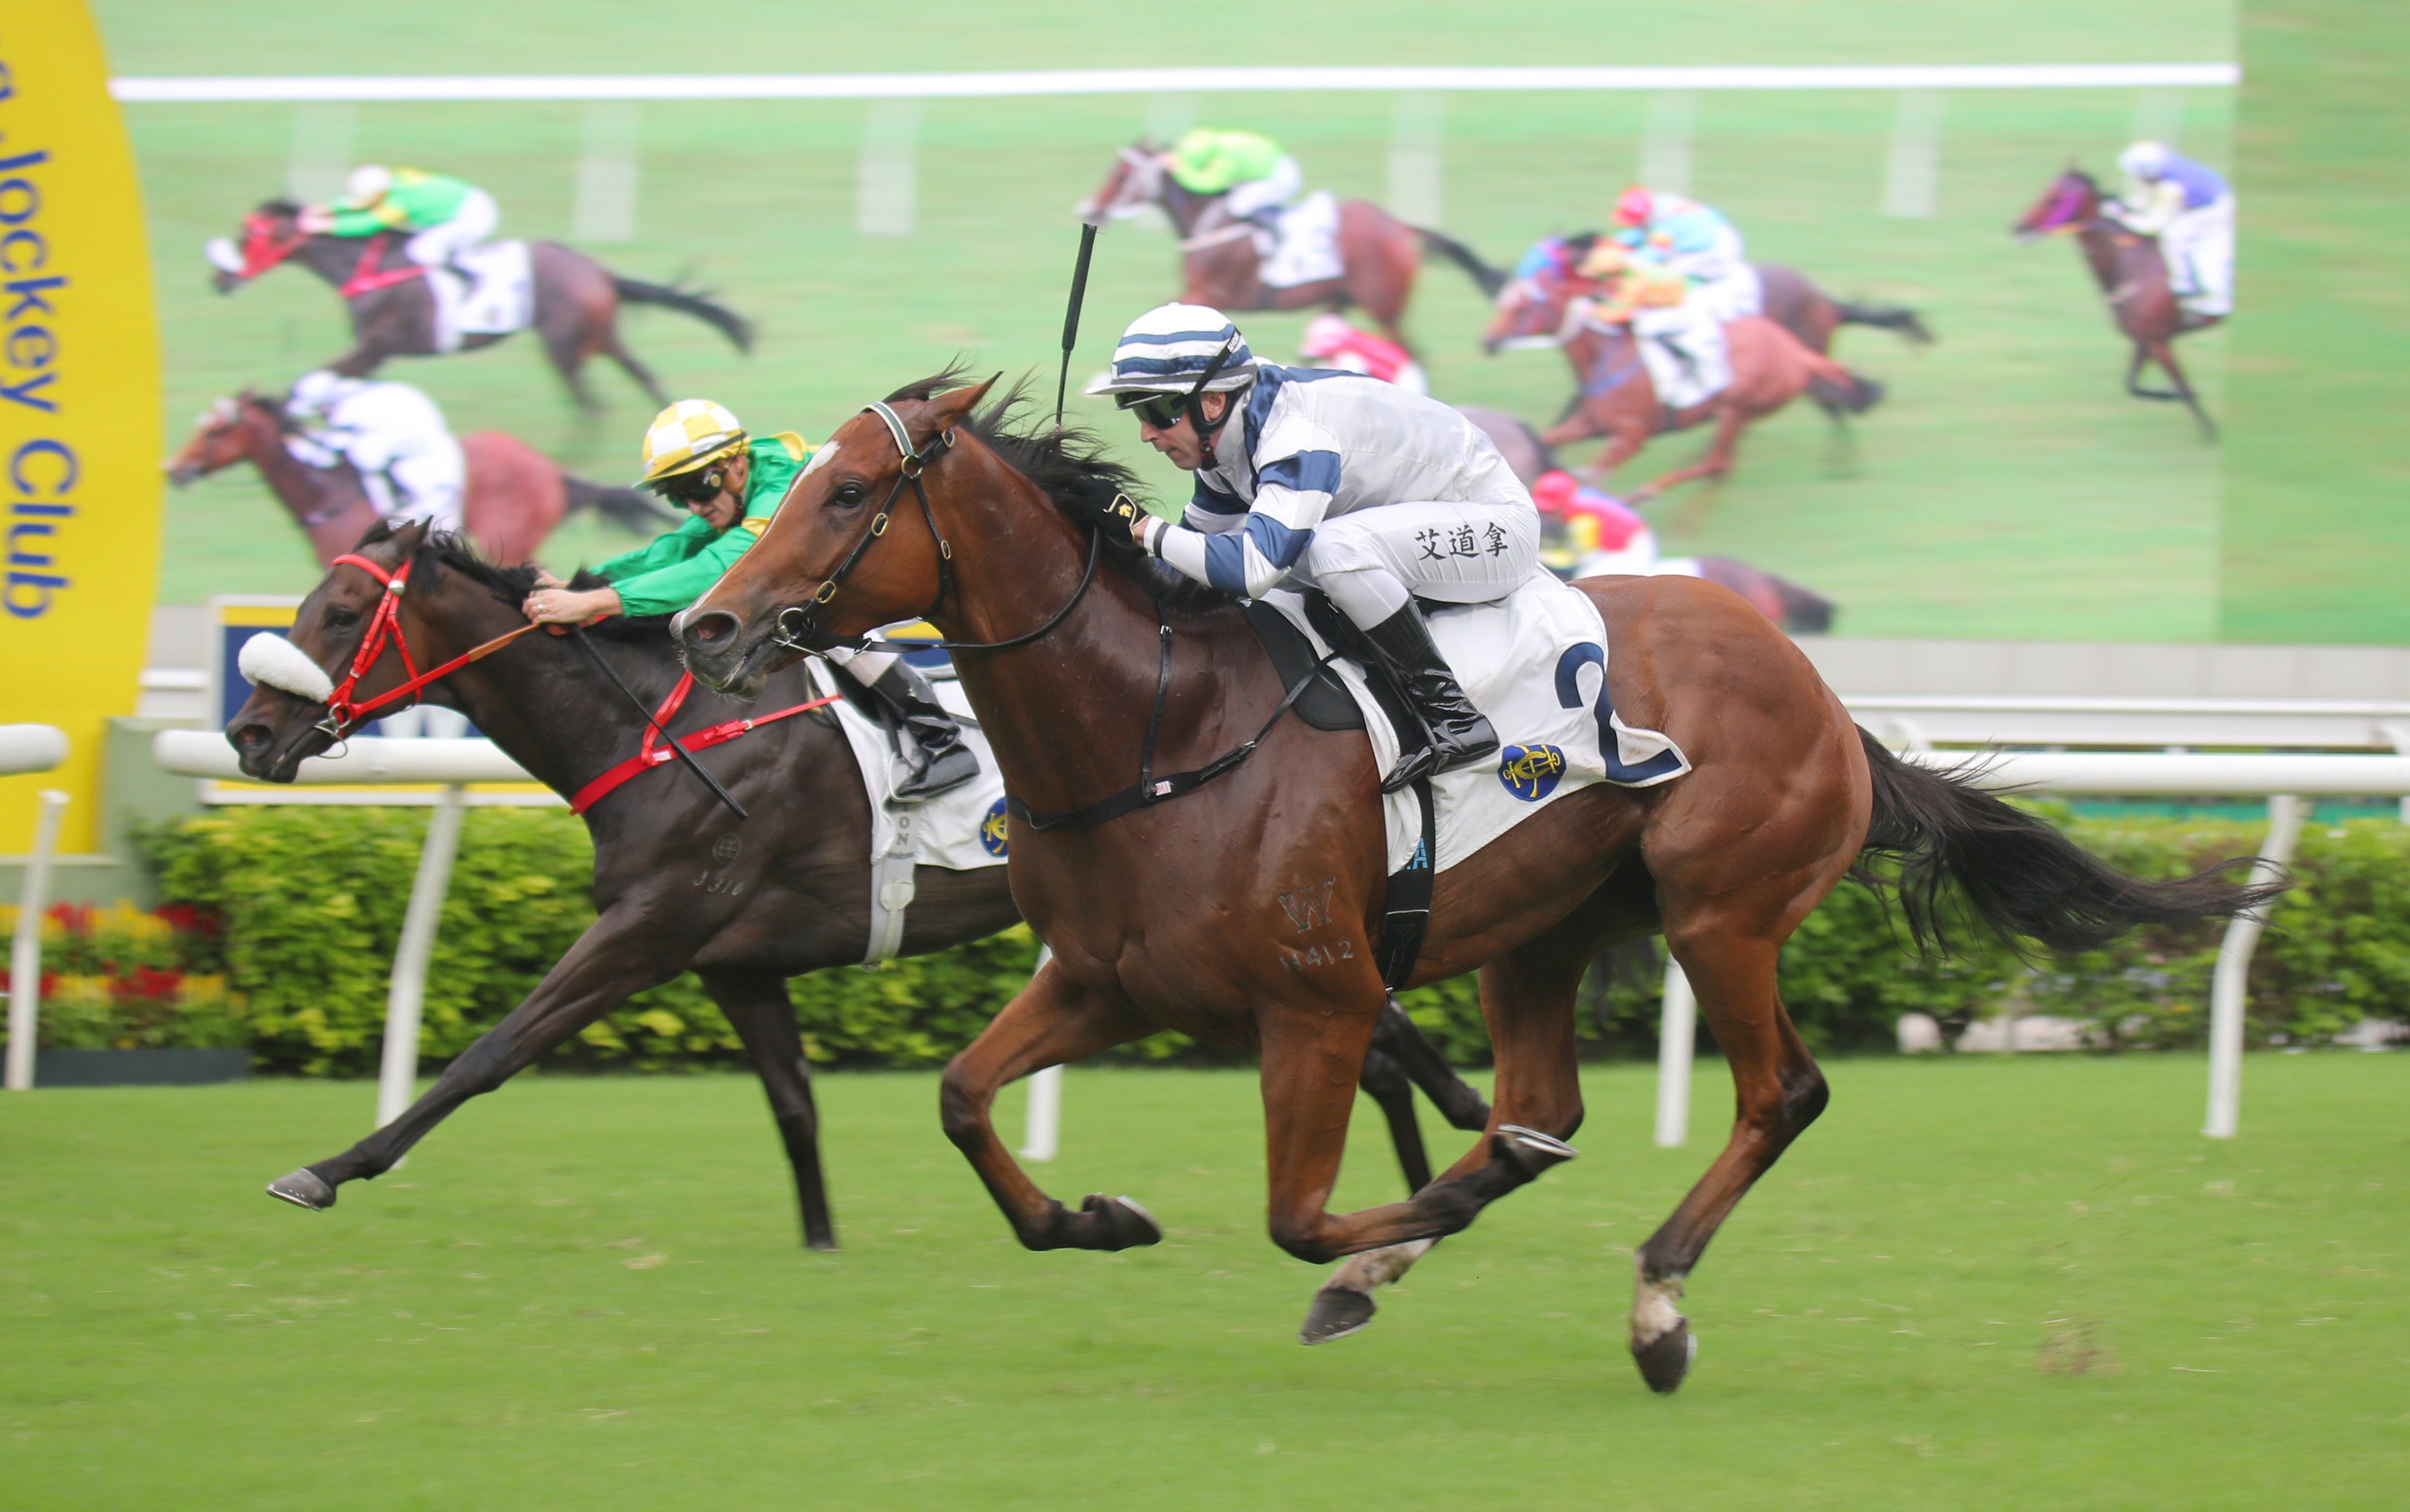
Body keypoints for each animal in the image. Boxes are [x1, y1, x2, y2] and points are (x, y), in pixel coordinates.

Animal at [221, 512, 1485, 1242]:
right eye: (307, 601)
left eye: (342, 609)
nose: (249, 733)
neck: (659, 728)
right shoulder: (733, 962)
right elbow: (793, 1101)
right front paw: (822, 1239)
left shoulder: (651, 923)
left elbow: (494, 1048)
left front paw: (329, 1167)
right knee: (1373, 1035)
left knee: (1370, 1029)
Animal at [670, 380, 2265, 1396]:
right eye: (796, 484)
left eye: (848, 491)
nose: (713, 626)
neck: (1160, 726)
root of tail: (1821, 691)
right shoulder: (1105, 979)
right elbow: (960, 1096)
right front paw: (1097, 1216)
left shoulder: (1317, 1001)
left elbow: (1301, 1213)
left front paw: (1381, 1242)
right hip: (1540, 928)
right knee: (1543, 1106)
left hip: (1723, 908)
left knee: (1777, 1094)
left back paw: (1655, 1302)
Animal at [1475, 260, 1889, 496]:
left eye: (1522, 307)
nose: (1488, 341)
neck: (1605, 357)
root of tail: (1793, 351)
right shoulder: (1591, 423)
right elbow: (1546, 441)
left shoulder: (1631, 436)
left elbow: (1594, 472)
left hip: (1735, 408)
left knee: (1717, 464)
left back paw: (1651, 493)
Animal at [2014, 173, 2217, 443]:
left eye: (2053, 199)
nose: (2017, 227)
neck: (2133, 264)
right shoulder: (2145, 339)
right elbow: (2133, 385)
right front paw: (2173, 396)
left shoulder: (2158, 340)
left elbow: (2181, 385)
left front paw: (2211, 432)